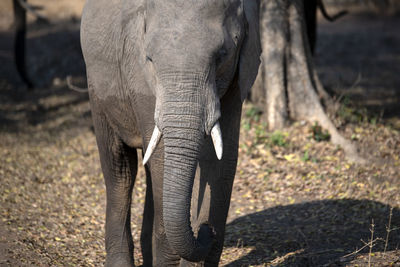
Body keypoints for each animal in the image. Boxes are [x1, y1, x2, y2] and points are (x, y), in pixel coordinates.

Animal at [81, 0, 262, 266]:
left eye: (222, 55)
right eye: (150, 59)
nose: (206, 231)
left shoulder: (237, 78)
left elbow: (222, 161)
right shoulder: (141, 79)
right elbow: (162, 159)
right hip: (96, 88)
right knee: (120, 170)